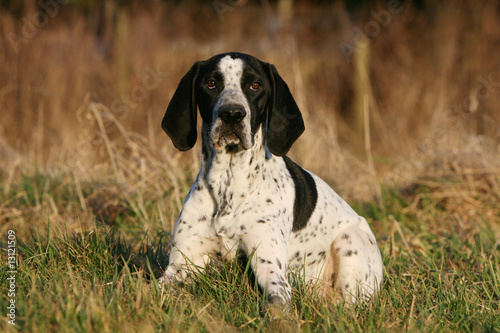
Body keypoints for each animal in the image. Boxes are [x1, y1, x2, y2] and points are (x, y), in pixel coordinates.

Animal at [160, 52, 382, 308]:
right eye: (211, 83)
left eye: (255, 86)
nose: (232, 114)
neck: (228, 187)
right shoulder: (179, 264)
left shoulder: (269, 268)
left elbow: (274, 305)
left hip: (349, 242)